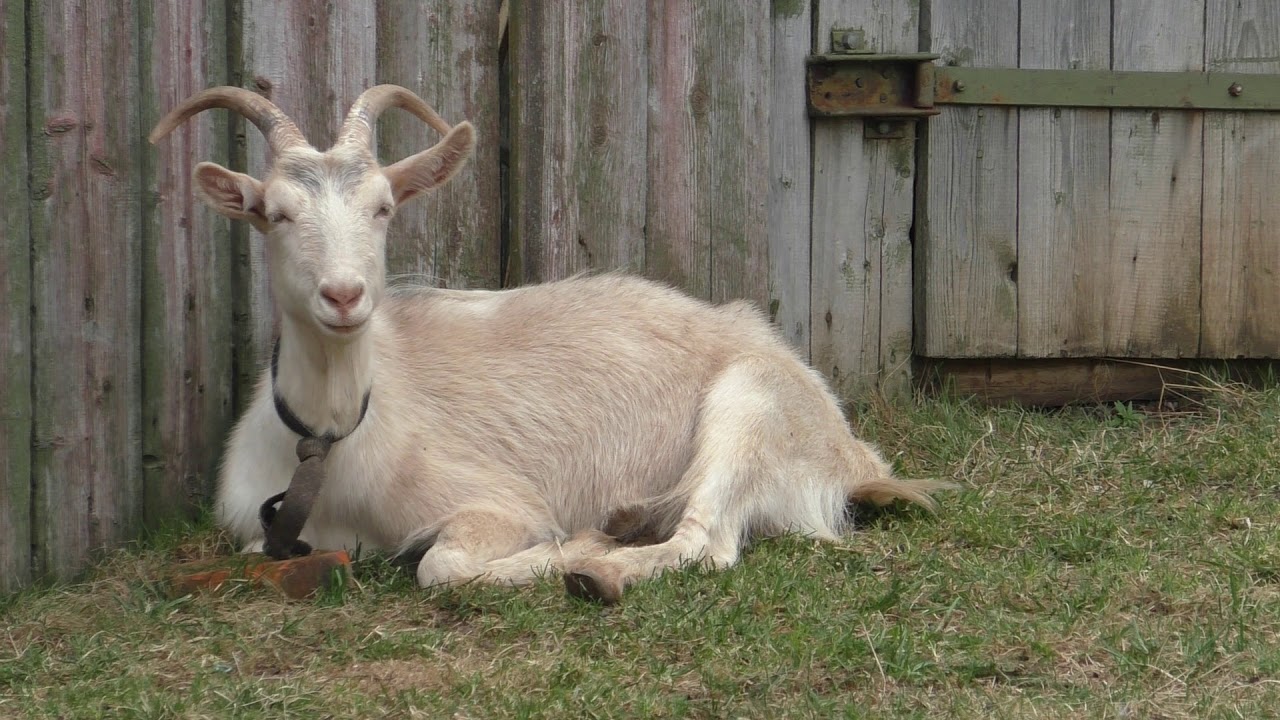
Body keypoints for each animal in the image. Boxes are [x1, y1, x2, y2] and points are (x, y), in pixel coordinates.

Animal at [150, 85, 950, 603]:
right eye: (276, 213)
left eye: (382, 207)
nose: (344, 296)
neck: (333, 440)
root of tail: (854, 455)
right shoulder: (263, 526)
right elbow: (261, 550)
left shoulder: (496, 502)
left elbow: (441, 568)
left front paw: (574, 547)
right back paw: (628, 521)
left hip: (748, 406)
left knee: (708, 541)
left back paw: (605, 566)